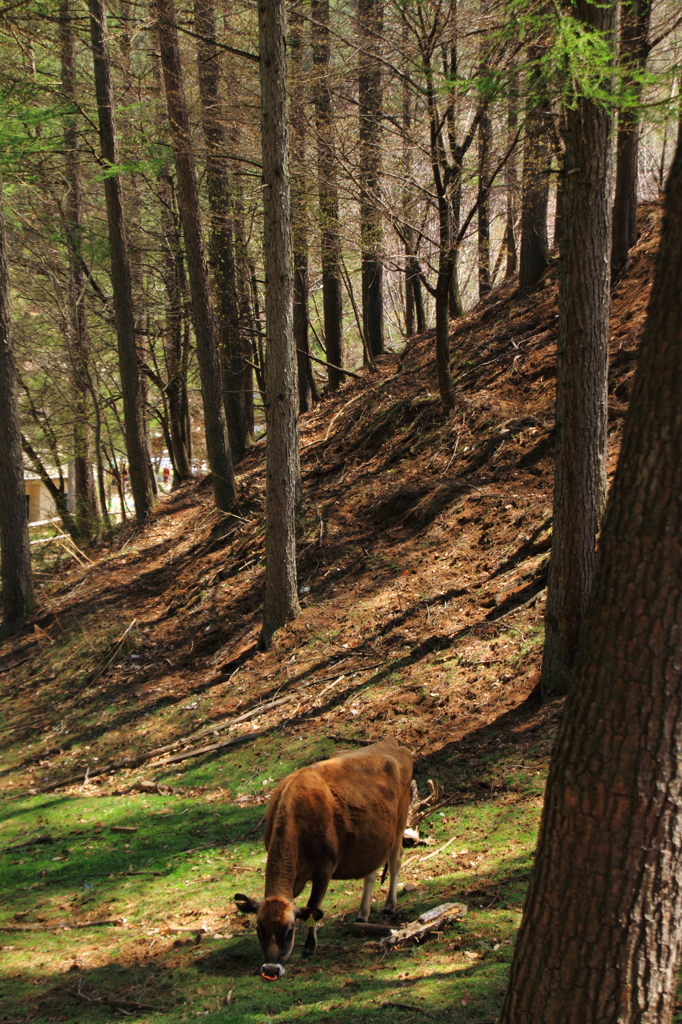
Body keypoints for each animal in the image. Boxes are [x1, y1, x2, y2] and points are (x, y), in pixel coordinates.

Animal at [236, 733, 411, 978]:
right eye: (259, 929)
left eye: (289, 931)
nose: (270, 969)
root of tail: (390, 743)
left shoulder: (324, 868)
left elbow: (313, 907)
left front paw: (310, 948)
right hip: (374, 839)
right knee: (370, 872)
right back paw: (362, 914)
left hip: (400, 822)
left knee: (395, 861)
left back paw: (389, 906)